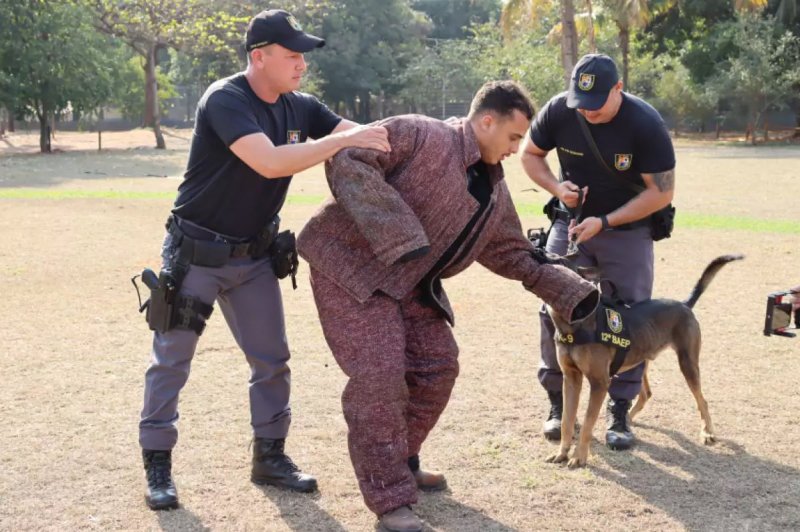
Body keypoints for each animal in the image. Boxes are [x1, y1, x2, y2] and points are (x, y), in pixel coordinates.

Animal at [540, 252, 740, 466]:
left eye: (560, 262)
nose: (538, 250)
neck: (575, 324)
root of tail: (684, 305)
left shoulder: (599, 383)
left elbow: (587, 424)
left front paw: (579, 457)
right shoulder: (571, 379)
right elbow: (566, 422)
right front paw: (562, 452)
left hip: (688, 364)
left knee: (702, 400)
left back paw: (707, 432)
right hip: (640, 361)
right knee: (646, 394)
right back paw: (628, 419)